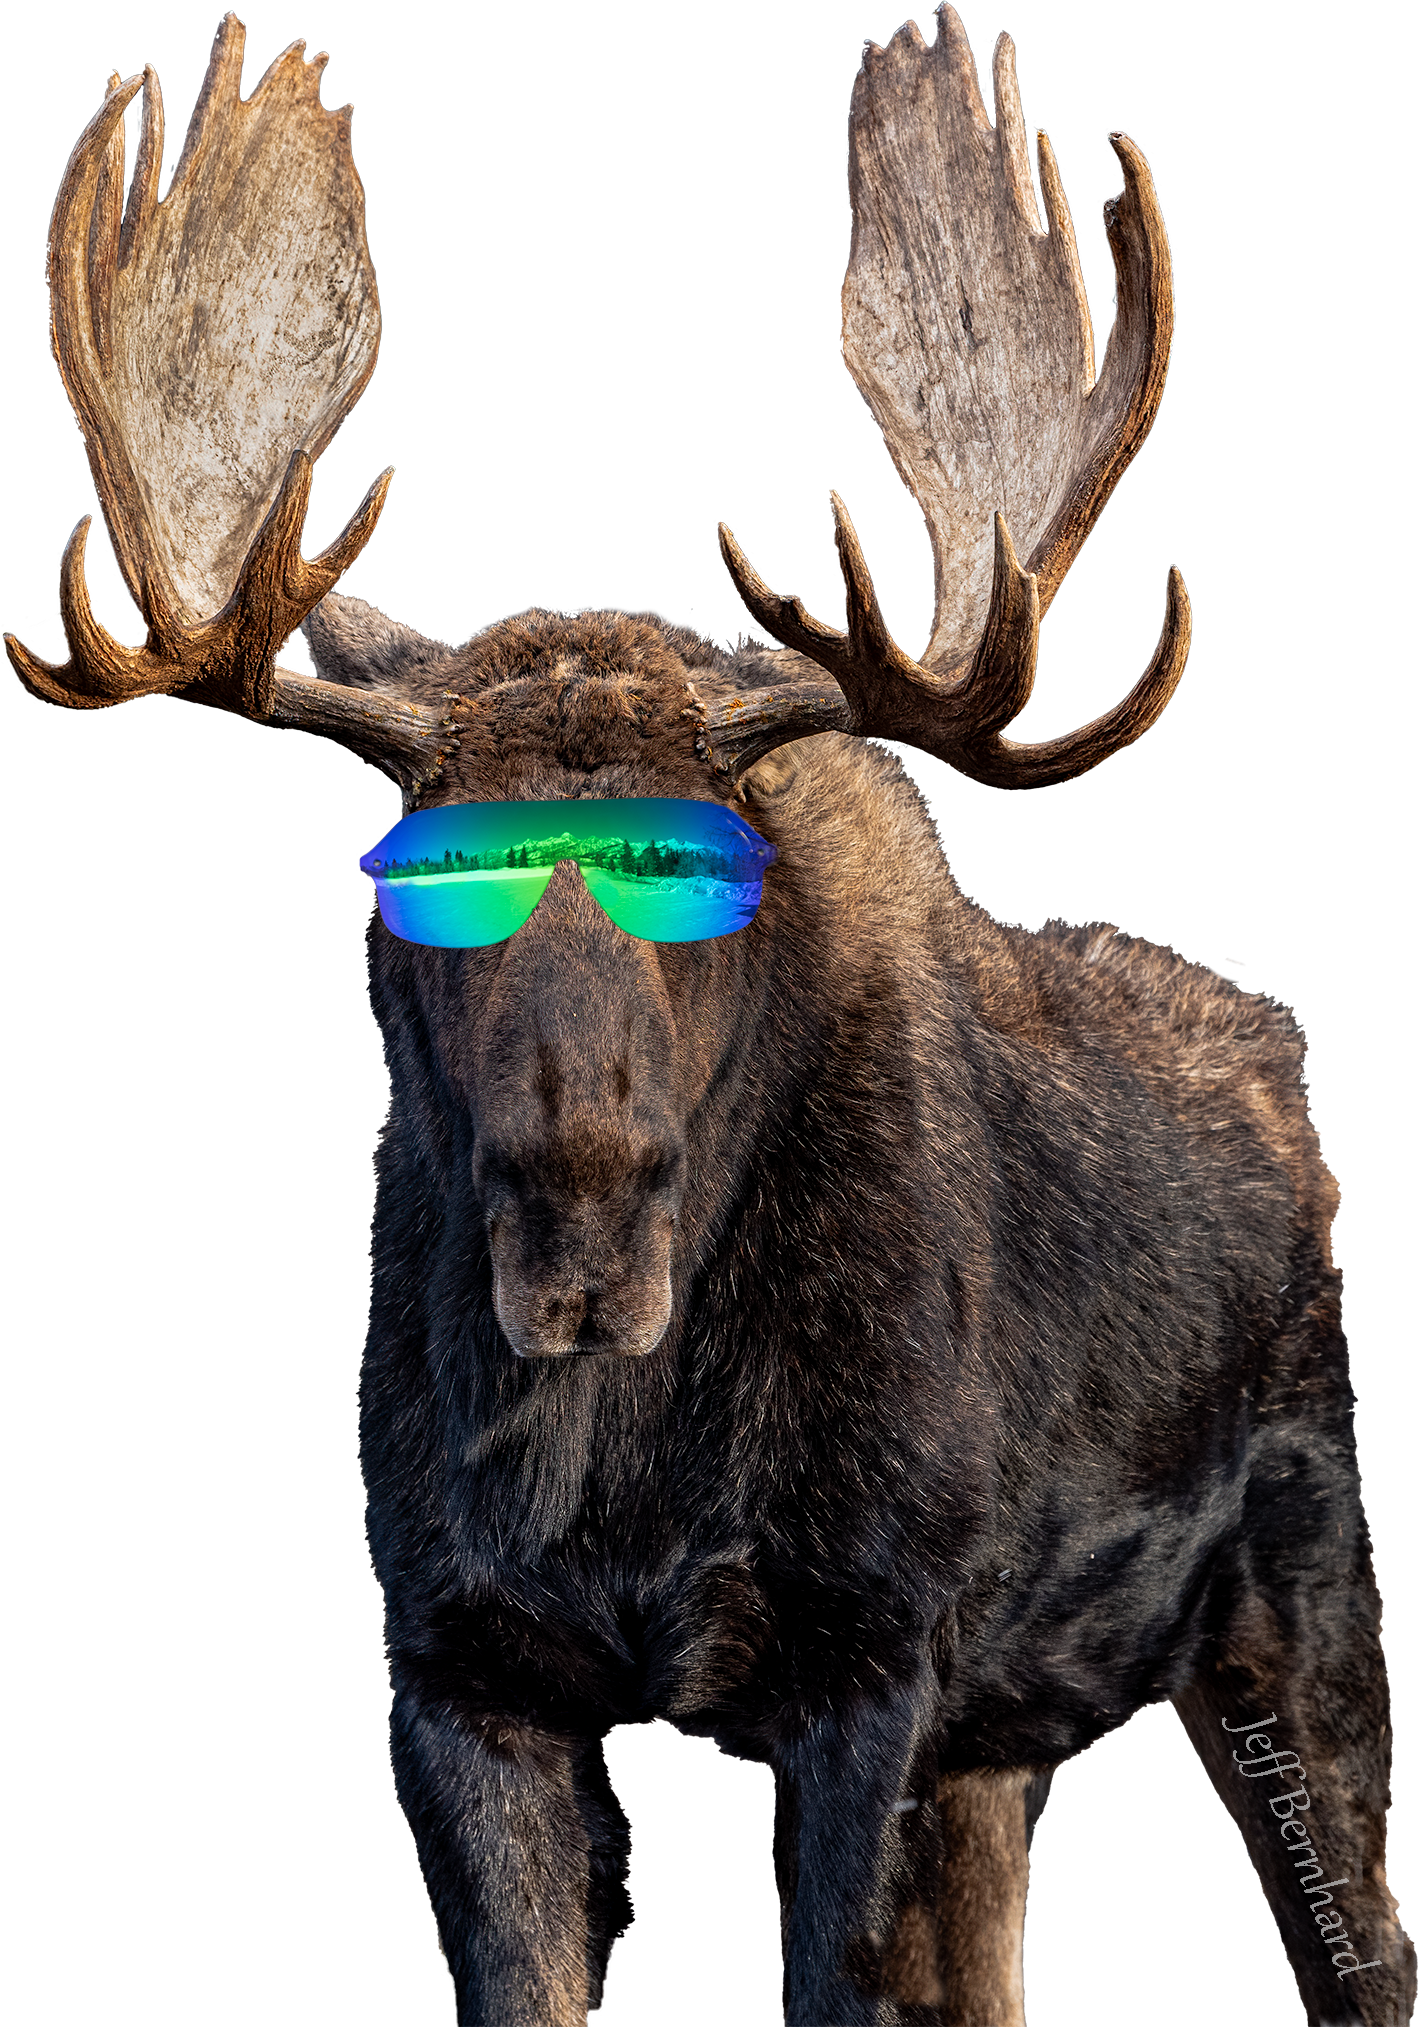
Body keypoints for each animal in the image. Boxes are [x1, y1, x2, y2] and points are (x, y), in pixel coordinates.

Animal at [9, 10, 1413, 2025]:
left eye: (701, 860)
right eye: (429, 866)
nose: (581, 1200)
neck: (622, 1466)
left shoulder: (863, 1661)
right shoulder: (460, 1670)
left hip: (1294, 1587)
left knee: (1358, 1938)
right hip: (999, 1741)